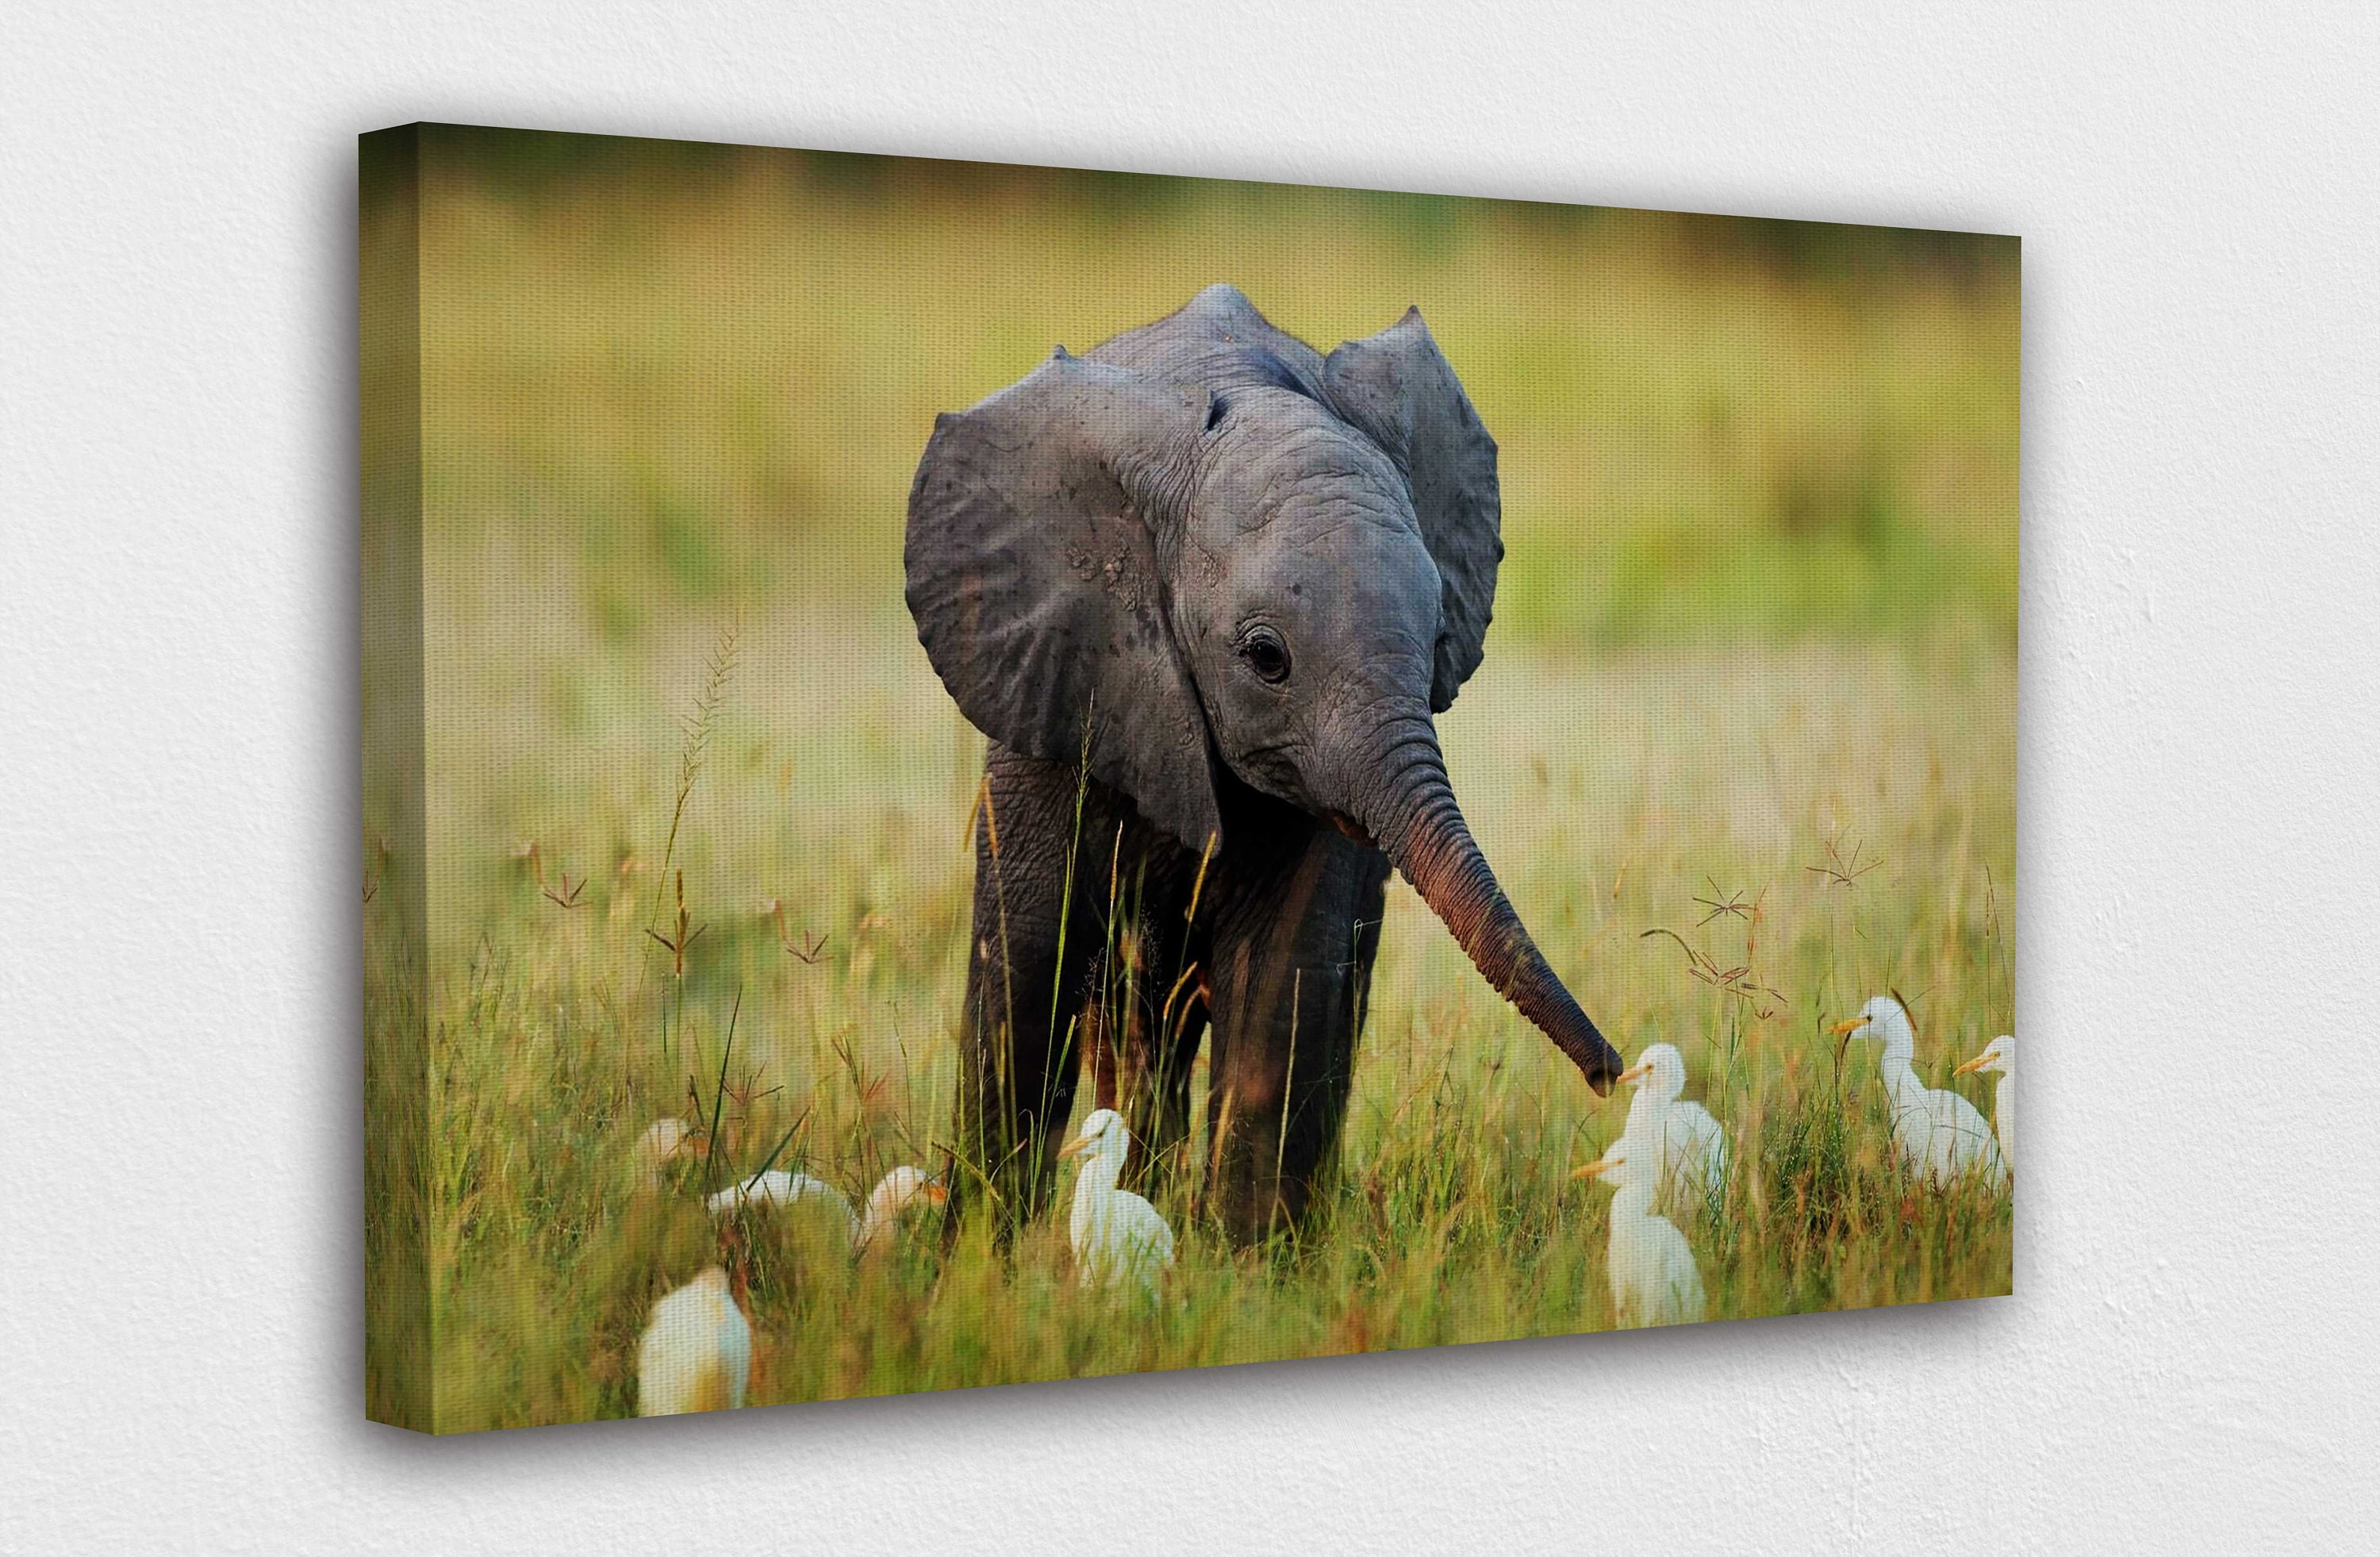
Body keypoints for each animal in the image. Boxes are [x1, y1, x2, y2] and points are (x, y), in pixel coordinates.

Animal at [904, 283, 1621, 1246]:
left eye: (1438, 638)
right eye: (1265, 657)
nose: (1612, 1073)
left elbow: (1286, 979)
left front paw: (1247, 1267)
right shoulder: (1049, 677)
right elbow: (1027, 966)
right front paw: (978, 1257)